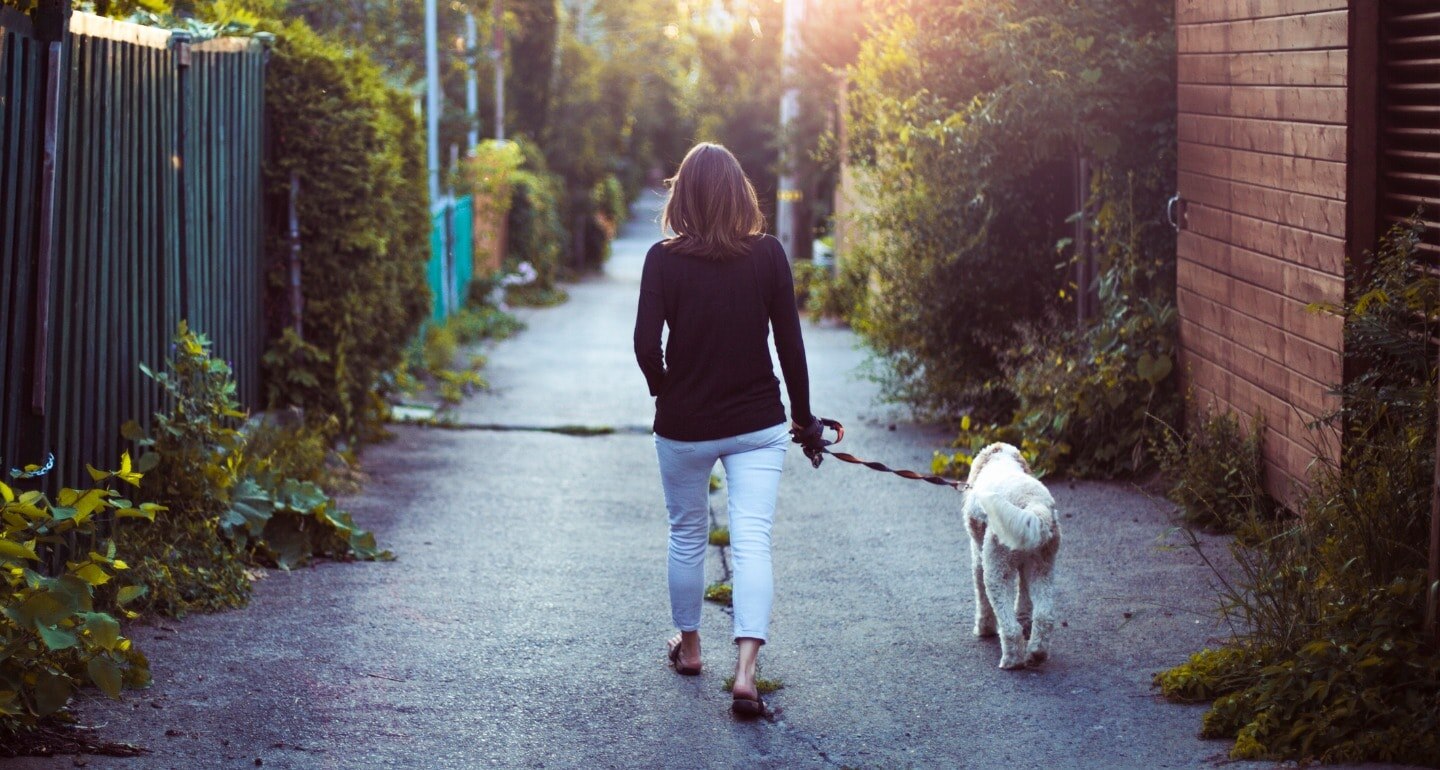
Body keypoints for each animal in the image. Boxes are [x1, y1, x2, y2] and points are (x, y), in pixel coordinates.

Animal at [962, 443, 1061, 669]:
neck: (999, 457)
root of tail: (1033, 505)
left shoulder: (979, 559)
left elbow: (982, 599)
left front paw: (984, 628)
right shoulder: (1025, 568)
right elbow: (1024, 598)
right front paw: (1025, 621)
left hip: (997, 570)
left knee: (1009, 626)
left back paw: (1011, 660)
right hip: (1043, 567)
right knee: (1044, 616)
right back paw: (1036, 653)